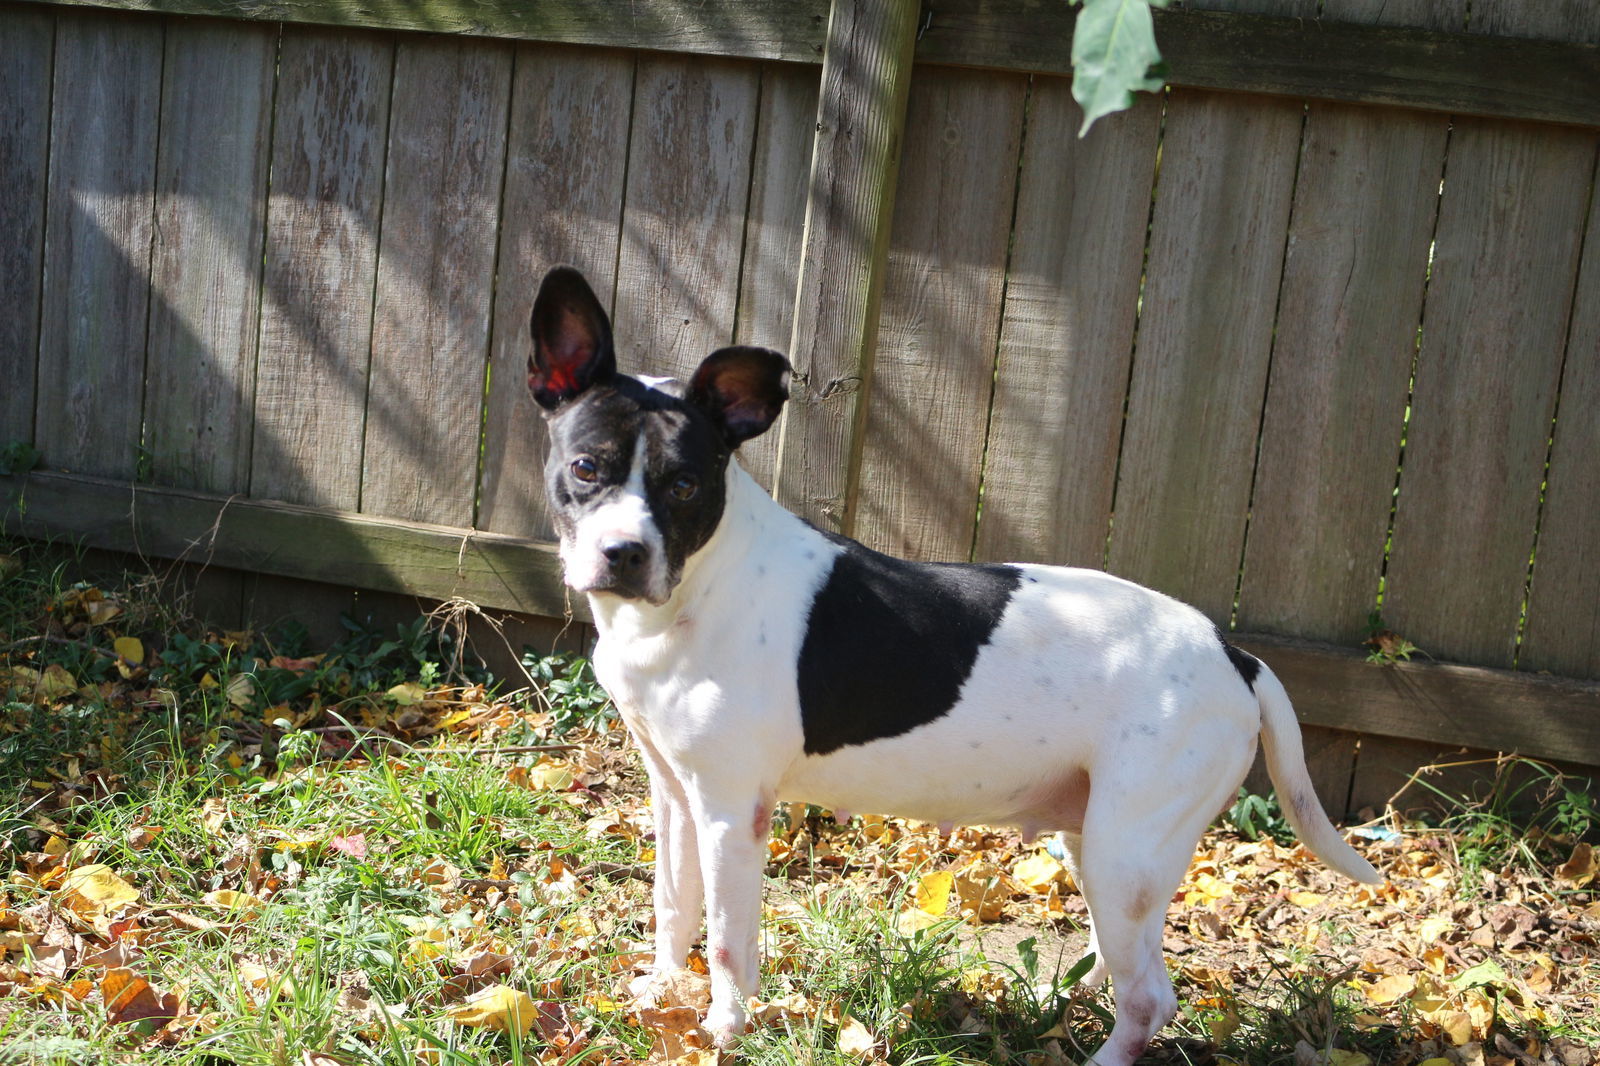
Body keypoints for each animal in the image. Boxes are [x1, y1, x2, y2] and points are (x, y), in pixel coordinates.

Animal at [524, 265, 1376, 1062]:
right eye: (588, 468)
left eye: (684, 483)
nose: (624, 554)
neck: (696, 587)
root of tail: (1235, 654)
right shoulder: (675, 795)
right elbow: (673, 905)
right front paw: (660, 994)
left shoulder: (734, 813)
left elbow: (733, 945)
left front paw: (721, 1034)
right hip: (1105, 846)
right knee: (1124, 961)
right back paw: (1053, 1002)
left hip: (1123, 852)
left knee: (1149, 1001)